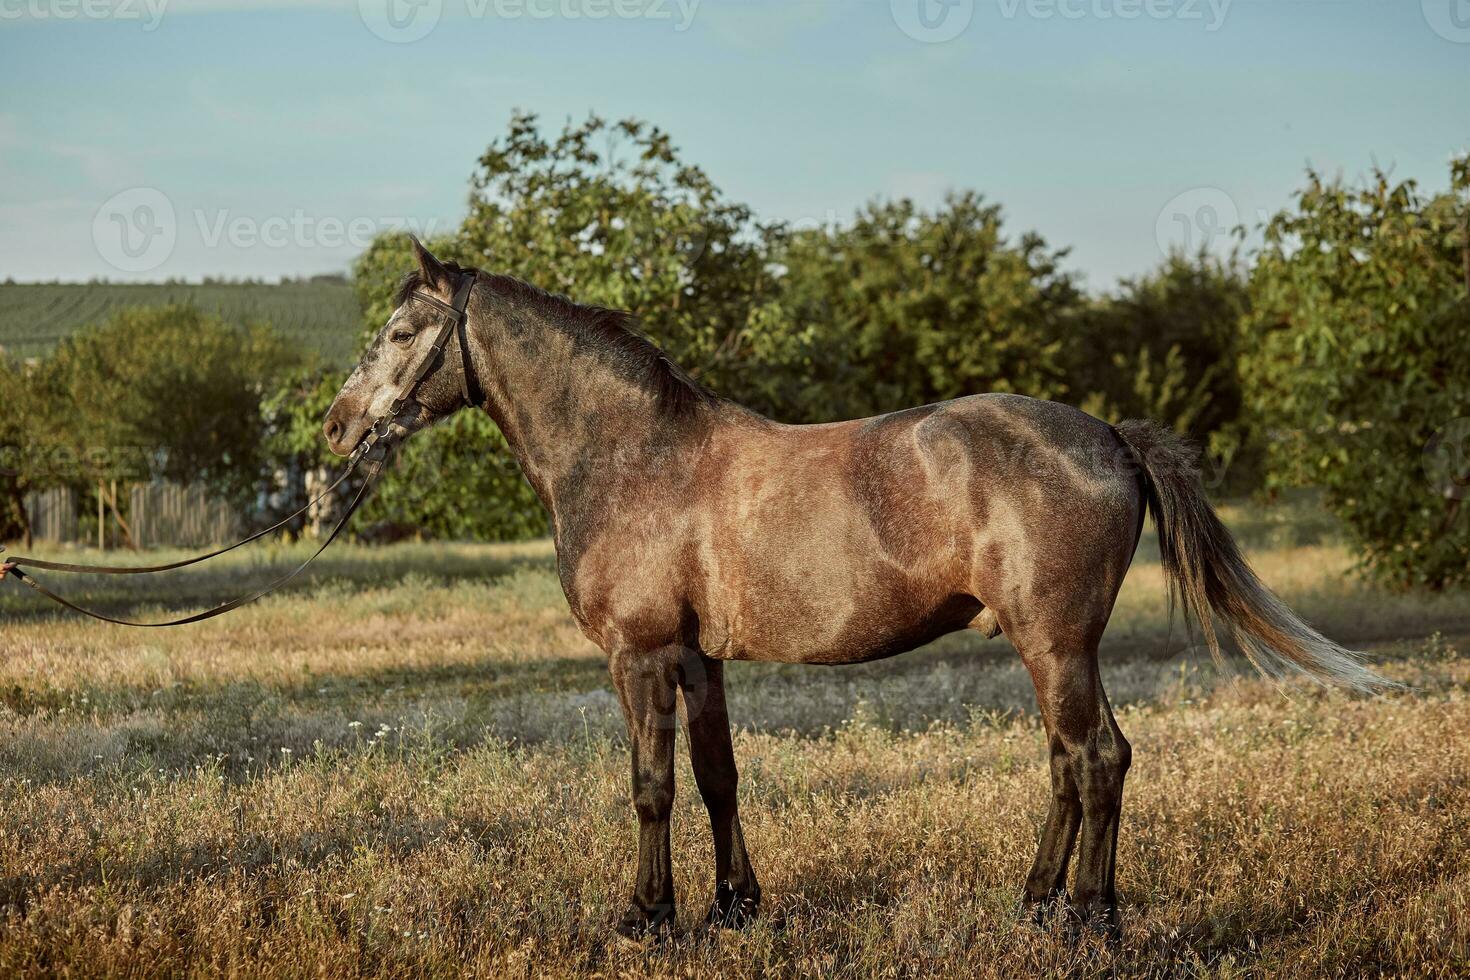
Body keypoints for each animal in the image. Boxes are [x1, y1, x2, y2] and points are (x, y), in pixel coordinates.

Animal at [318, 238, 1375, 940]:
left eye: (402, 331)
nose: (336, 427)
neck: (632, 455)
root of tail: (1110, 436)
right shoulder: (699, 659)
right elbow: (718, 777)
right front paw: (734, 908)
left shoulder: (641, 656)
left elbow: (652, 787)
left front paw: (646, 918)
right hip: (1054, 648)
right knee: (1070, 764)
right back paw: (1036, 903)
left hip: (1057, 643)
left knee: (1098, 758)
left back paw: (1087, 919)